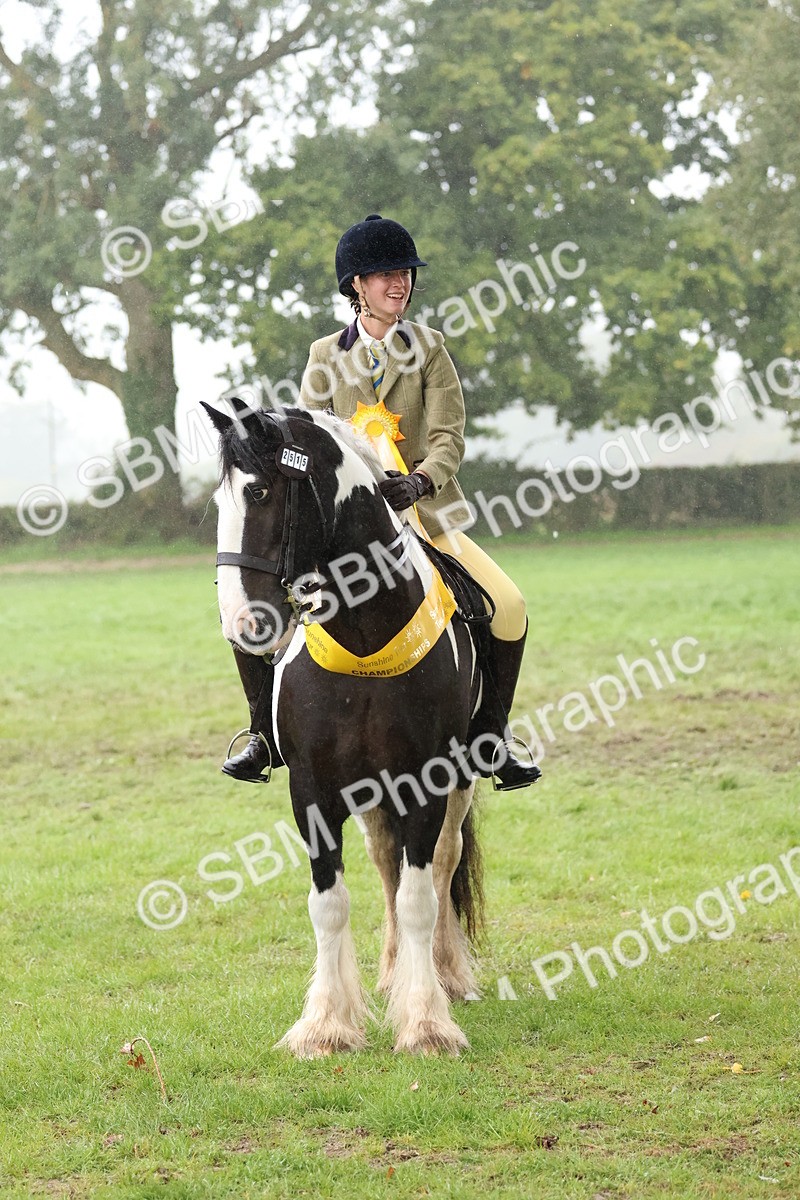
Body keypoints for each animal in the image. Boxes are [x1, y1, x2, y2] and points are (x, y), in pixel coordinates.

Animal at [202, 398, 486, 1057]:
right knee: (385, 861)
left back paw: (445, 976)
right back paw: (391, 974)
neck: (364, 632)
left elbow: (419, 895)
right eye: (219, 499)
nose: (241, 622)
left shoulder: (427, 780)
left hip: (455, 781)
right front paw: (327, 1025)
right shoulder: (312, 787)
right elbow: (328, 902)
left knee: (442, 863)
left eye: (258, 491)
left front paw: (425, 1023)